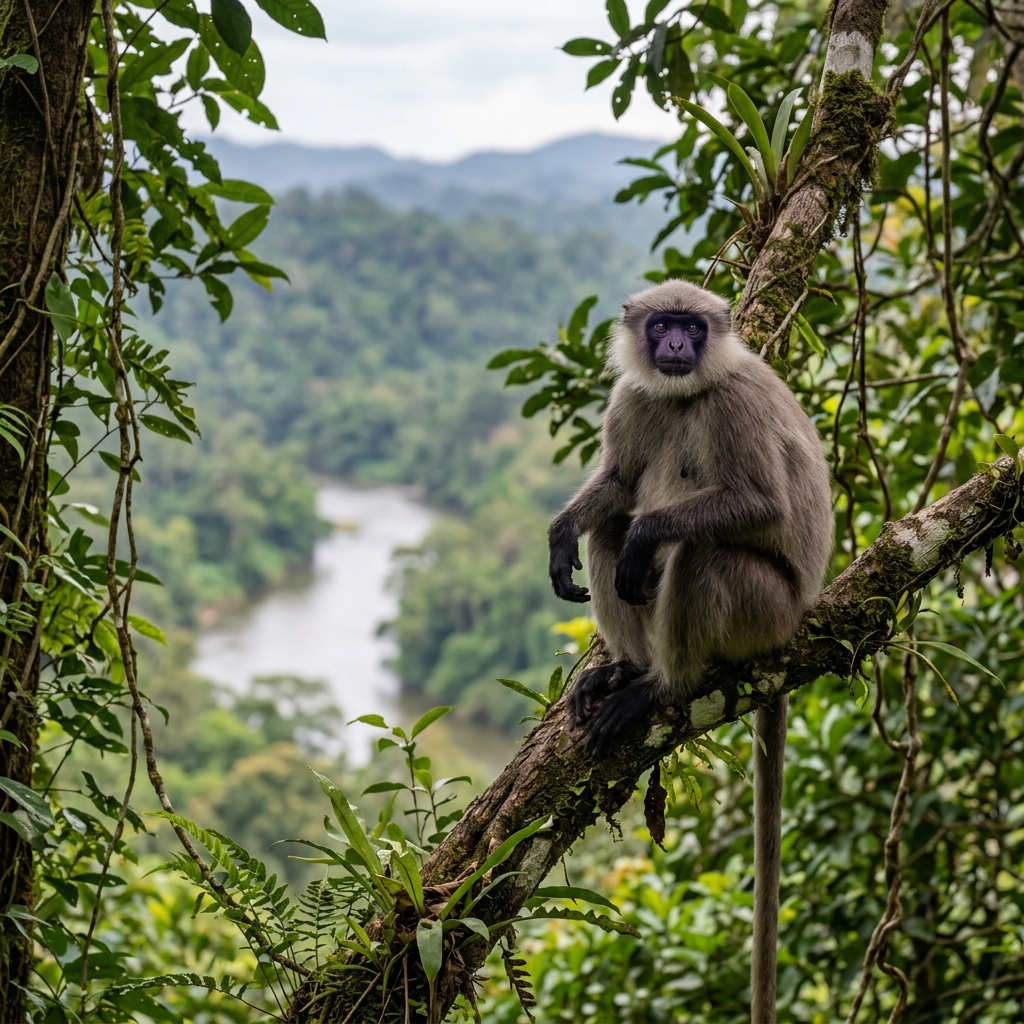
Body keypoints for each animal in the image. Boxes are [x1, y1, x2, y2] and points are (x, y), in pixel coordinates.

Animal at [547, 278, 832, 1024]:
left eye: (693, 329)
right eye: (663, 326)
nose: (676, 344)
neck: (684, 393)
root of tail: (798, 618)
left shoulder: (731, 405)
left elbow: (758, 504)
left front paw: (648, 536)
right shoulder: (633, 395)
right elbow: (619, 482)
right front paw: (560, 536)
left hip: (762, 608)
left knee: (697, 550)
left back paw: (664, 685)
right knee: (611, 527)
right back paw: (624, 670)